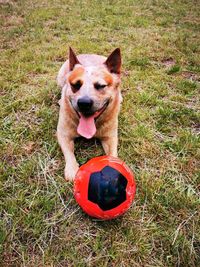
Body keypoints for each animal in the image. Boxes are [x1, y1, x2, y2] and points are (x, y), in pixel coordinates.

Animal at [56, 47, 122, 182]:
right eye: (75, 85)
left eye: (101, 86)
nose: (84, 103)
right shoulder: (63, 134)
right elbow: (69, 153)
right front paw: (72, 169)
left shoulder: (111, 137)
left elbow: (113, 155)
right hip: (59, 78)